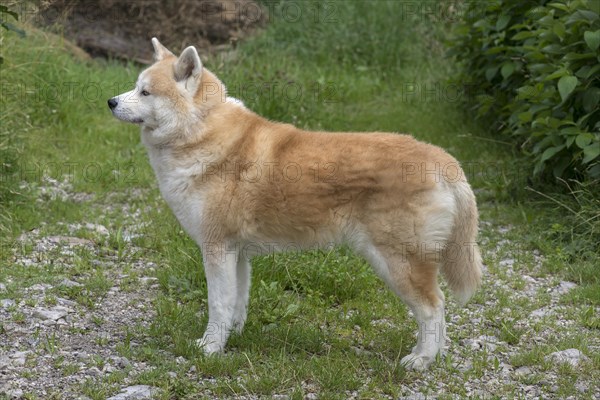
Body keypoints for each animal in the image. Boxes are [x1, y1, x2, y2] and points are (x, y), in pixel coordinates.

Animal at [108, 39, 482, 370]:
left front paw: (210, 348)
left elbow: (218, 304)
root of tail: (441, 159)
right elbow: (237, 302)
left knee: (433, 309)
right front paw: (233, 337)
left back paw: (422, 359)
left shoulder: (216, 249)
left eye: (146, 92)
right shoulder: (237, 253)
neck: (199, 130)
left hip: (397, 261)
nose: (110, 101)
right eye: (135, 87)